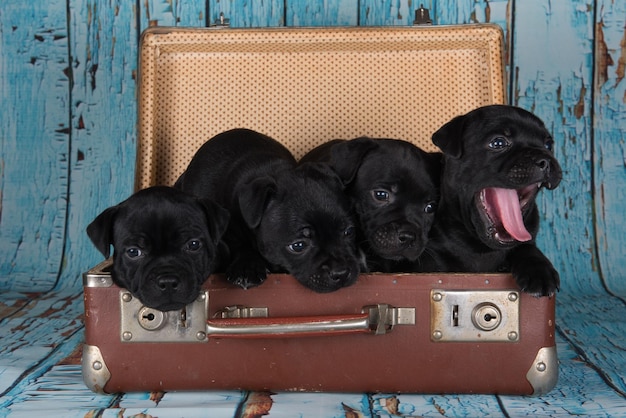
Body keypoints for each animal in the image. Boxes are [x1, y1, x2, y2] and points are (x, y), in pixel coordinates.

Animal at [420, 105, 560, 298]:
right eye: (498, 143)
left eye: (548, 145)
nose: (545, 159)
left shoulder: (528, 238)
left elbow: (527, 247)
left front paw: (539, 270)